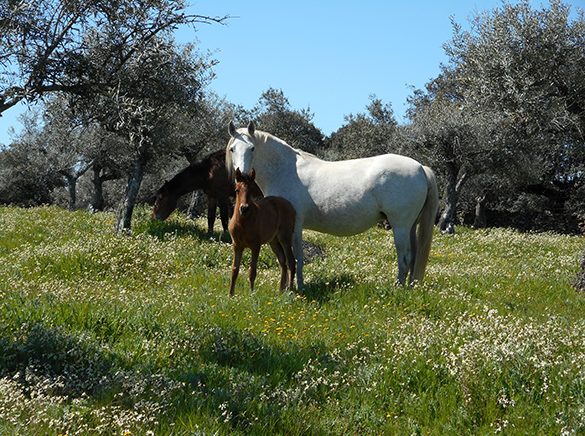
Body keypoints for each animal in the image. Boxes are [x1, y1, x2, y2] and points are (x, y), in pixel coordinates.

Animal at [226, 168, 294, 296]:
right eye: (237, 190)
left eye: (252, 189)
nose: (244, 208)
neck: (243, 223)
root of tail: (288, 204)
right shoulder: (237, 246)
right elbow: (234, 271)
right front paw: (230, 295)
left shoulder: (255, 246)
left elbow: (252, 271)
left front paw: (252, 294)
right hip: (273, 242)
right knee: (283, 262)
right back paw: (280, 291)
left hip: (285, 239)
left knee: (291, 262)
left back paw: (291, 291)